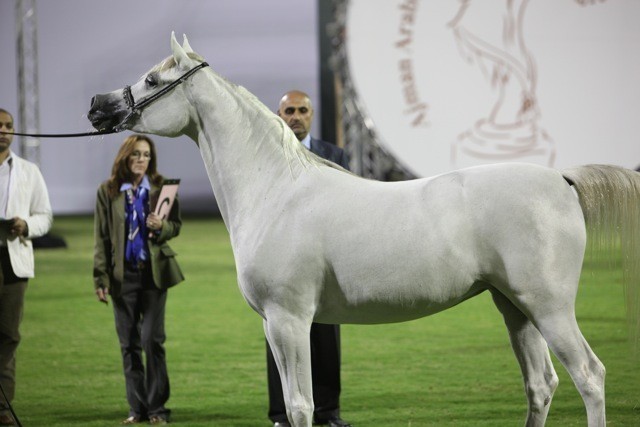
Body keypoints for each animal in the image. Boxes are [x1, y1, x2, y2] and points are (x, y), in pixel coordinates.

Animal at [87, 32, 640, 427]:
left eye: (153, 80)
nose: (97, 104)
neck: (276, 190)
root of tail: (562, 178)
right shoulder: (274, 325)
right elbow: (293, 404)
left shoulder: (289, 320)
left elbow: (302, 407)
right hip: (515, 308)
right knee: (541, 385)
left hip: (549, 307)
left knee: (589, 376)